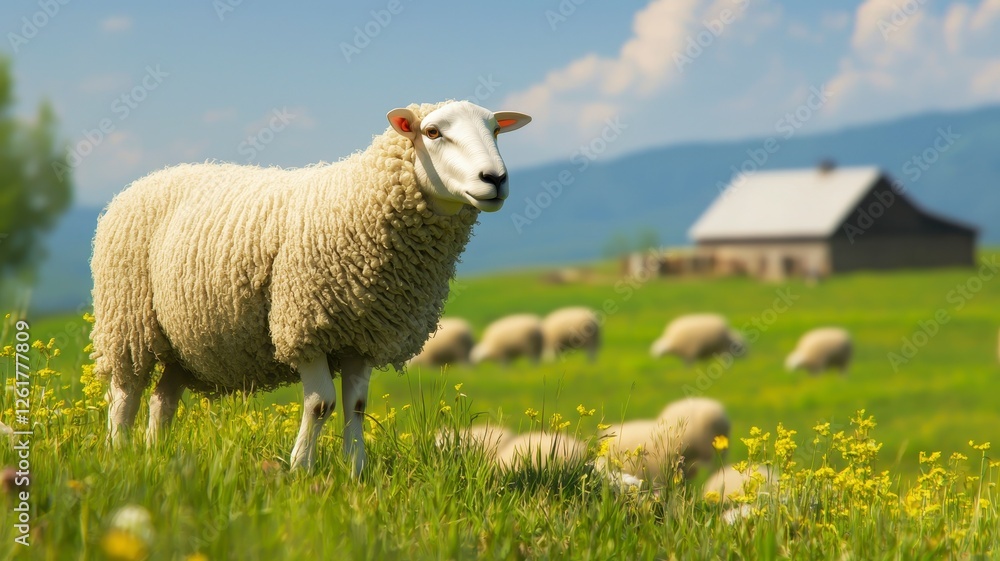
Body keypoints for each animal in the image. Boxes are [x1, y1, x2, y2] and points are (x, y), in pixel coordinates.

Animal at [89, 100, 531, 474]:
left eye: (496, 130)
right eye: (433, 132)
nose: (495, 179)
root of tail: (141, 181)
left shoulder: (363, 334)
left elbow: (356, 405)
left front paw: (356, 471)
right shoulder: (306, 324)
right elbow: (321, 404)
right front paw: (301, 468)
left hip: (181, 341)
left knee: (162, 399)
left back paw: (155, 454)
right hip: (126, 319)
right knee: (126, 393)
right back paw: (118, 455)